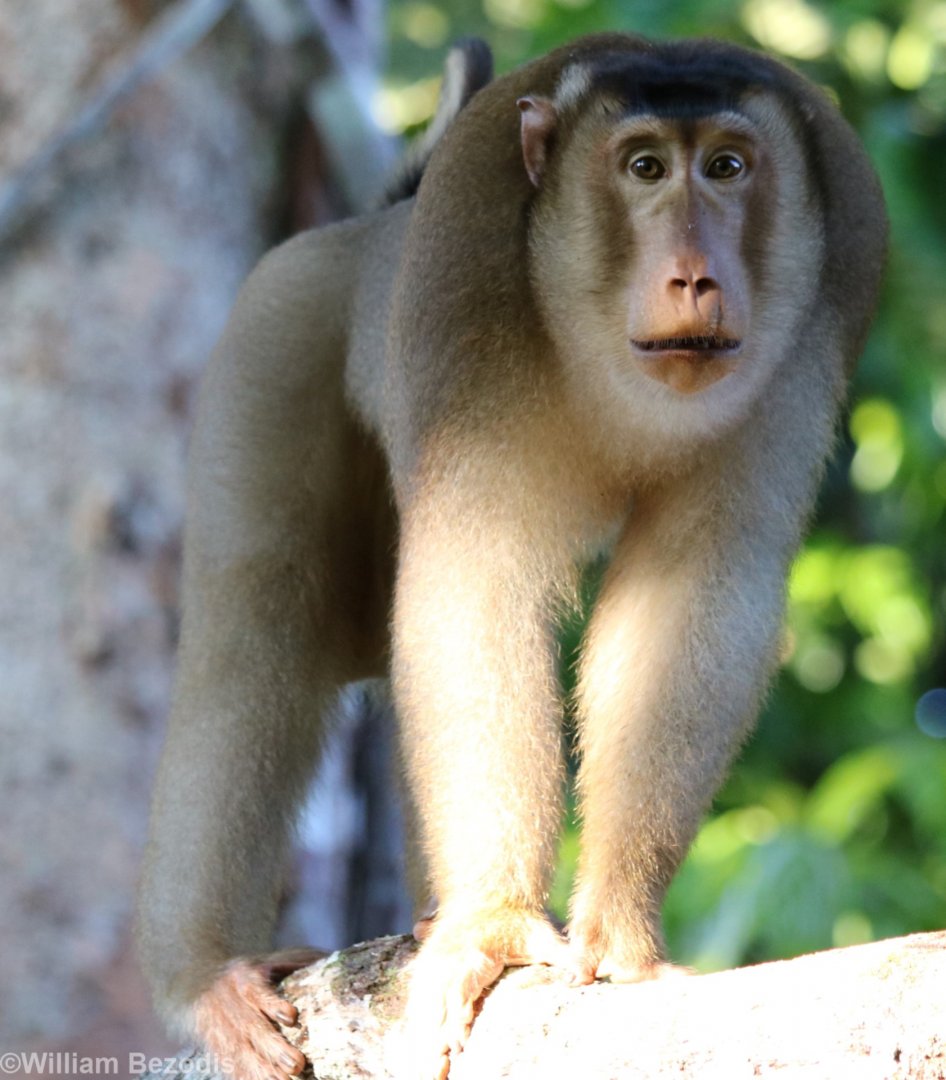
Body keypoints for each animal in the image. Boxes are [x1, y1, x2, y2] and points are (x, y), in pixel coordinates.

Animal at [137, 31, 886, 1080]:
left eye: (728, 167)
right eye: (645, 167)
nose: (695, 276)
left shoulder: (810, 332)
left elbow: (696, 593)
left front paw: (618, 933)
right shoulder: (466, 291)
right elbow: (473, 586)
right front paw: (490, 924)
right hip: (279, 321)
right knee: (253, 628)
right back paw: (209, 973)